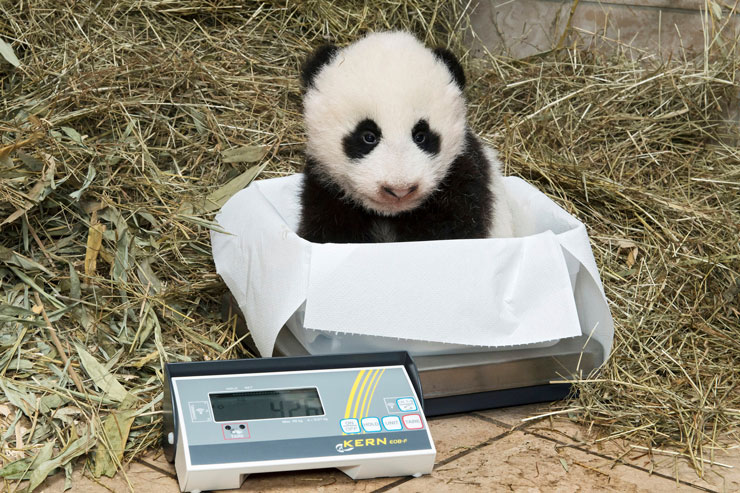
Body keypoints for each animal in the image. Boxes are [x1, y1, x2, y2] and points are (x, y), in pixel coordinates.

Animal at [297, 31, 514, 243]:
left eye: (421, 136)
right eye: (368, 136)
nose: (399, 189)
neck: (391, 214)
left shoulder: (464, 180)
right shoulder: (325, 189)